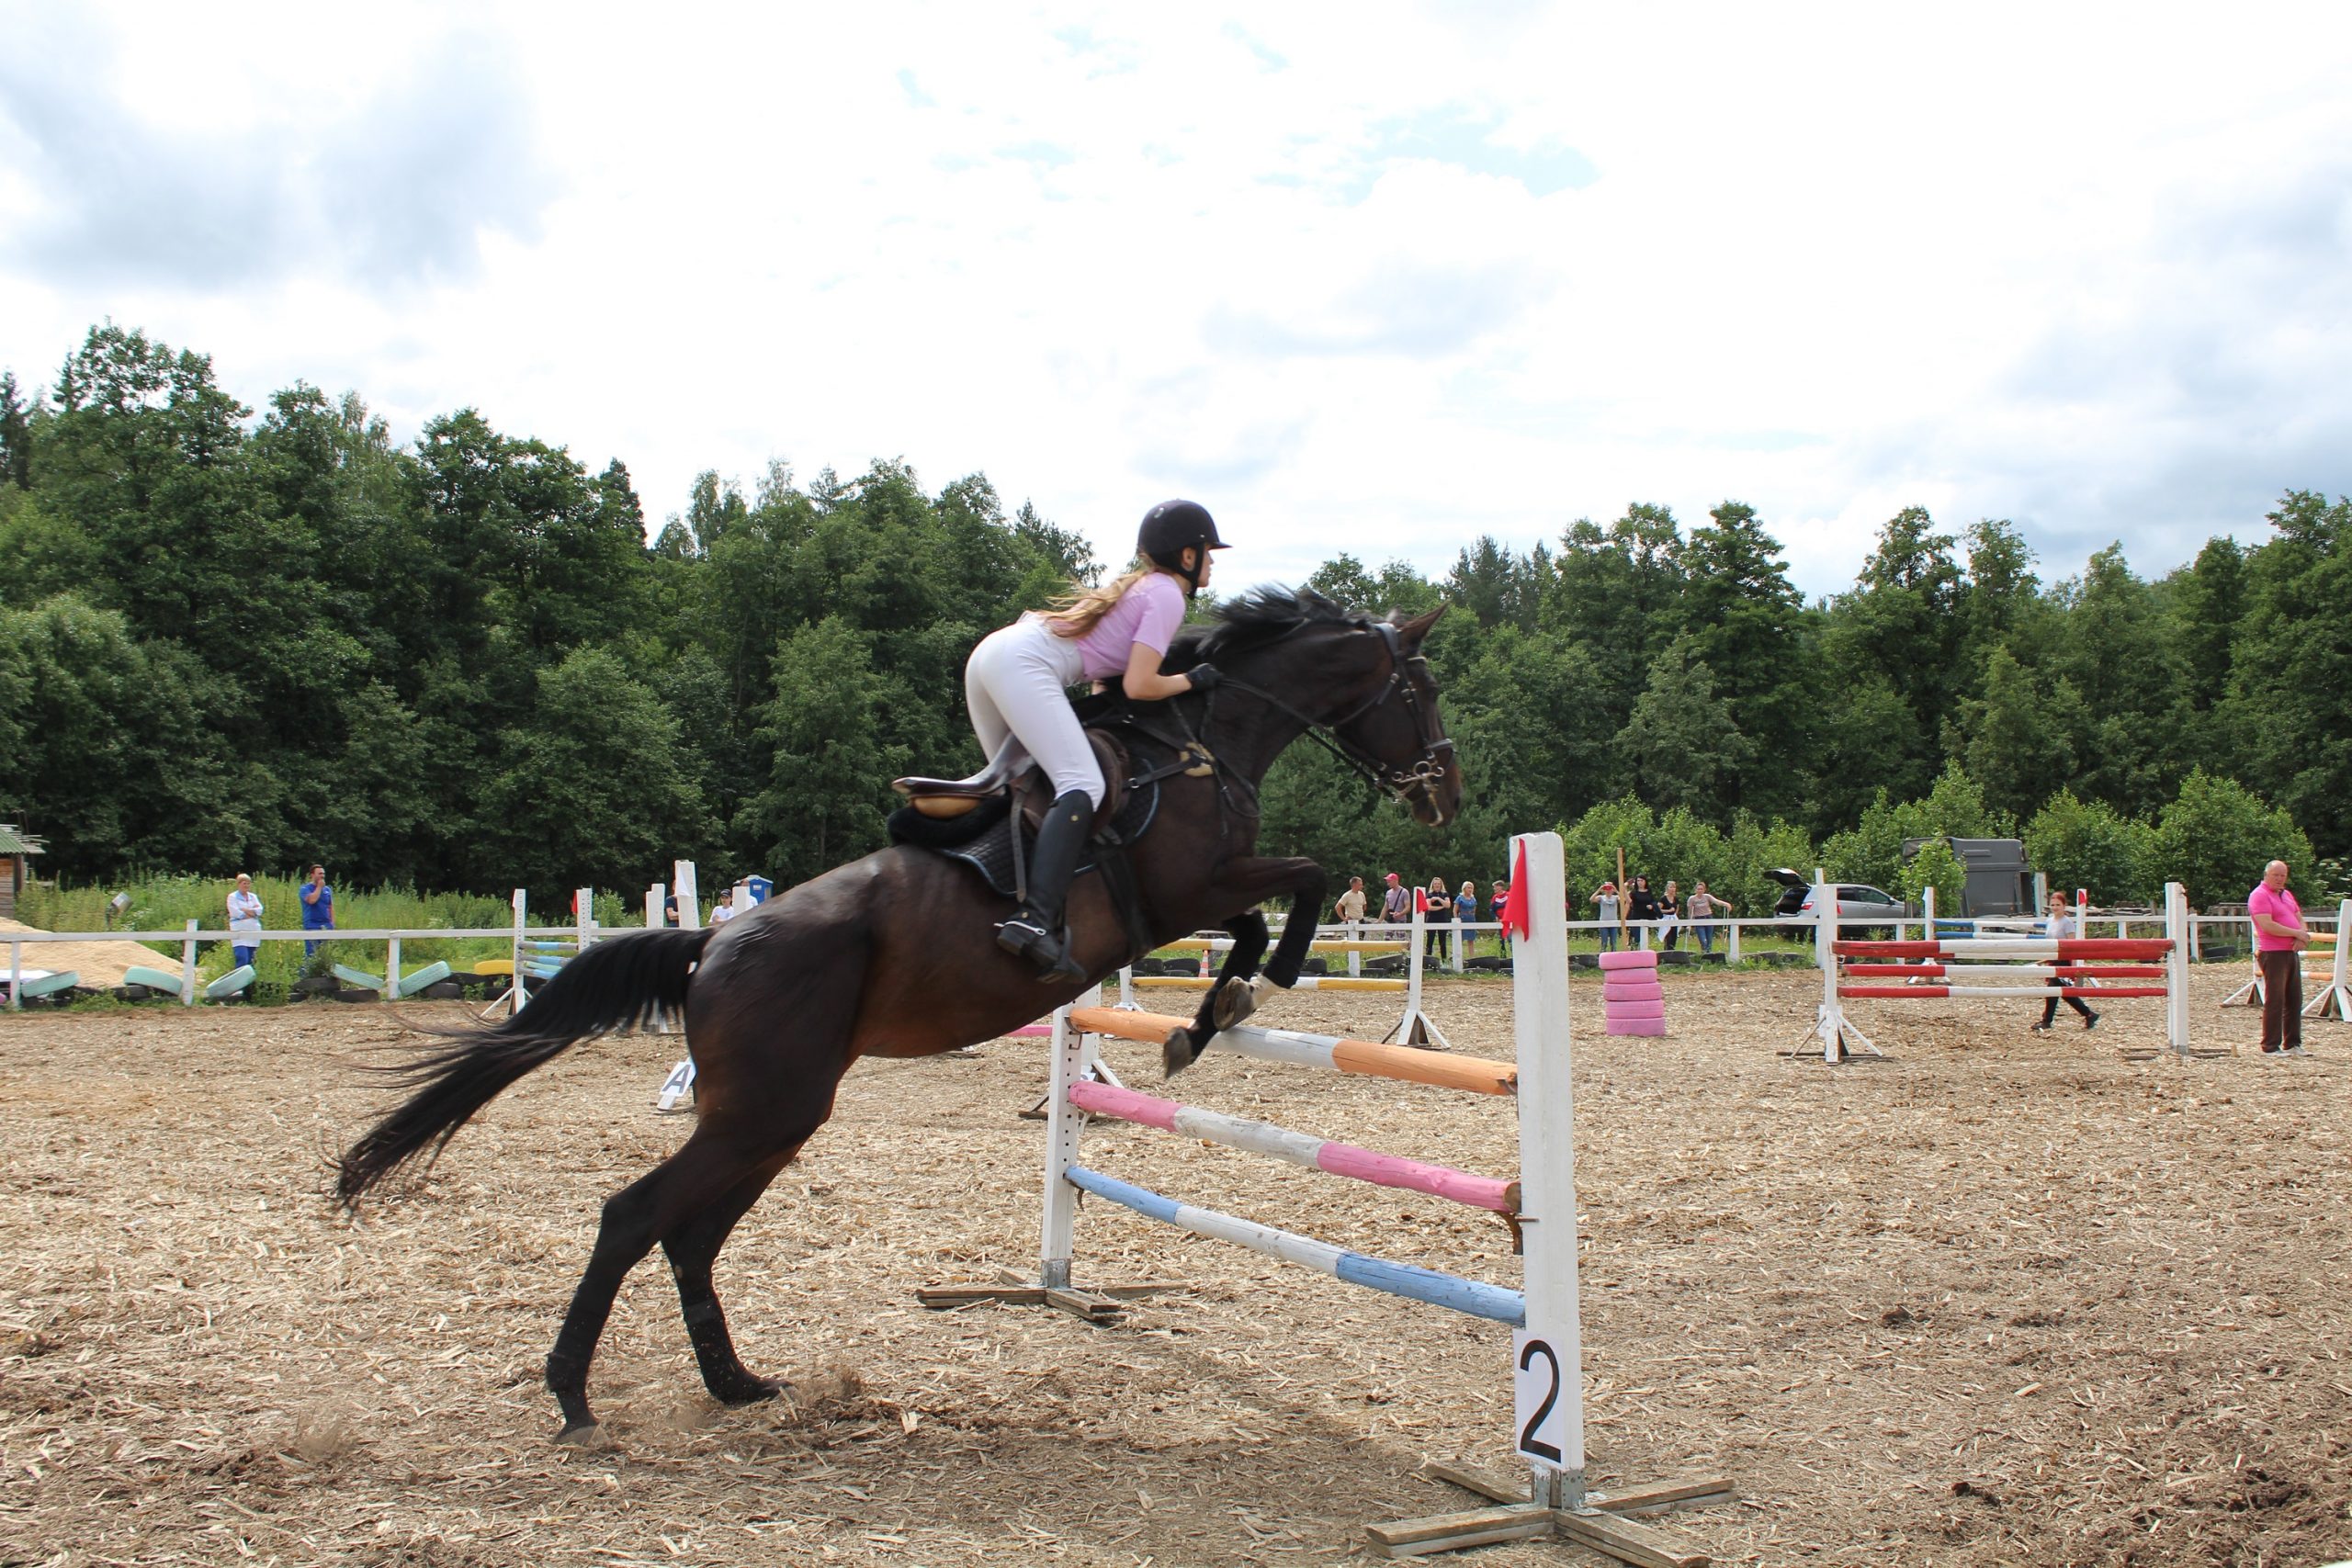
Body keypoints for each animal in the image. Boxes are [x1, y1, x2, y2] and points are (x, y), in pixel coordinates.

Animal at [341, 585, 1458, 1438]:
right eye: (1421, 687)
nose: (1443, 796)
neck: (1198, 742)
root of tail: (712, 947)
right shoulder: (1187, 887)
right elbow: (1299, 884)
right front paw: (1242, 992)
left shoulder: (1197, 897)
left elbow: (1259, 914)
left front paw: (1208, 1011)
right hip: (762, 1113)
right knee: (633, 1217)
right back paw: (573, 1394)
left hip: (776, 1119)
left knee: (689, 1235)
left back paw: (734, 1383)